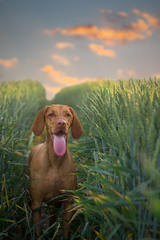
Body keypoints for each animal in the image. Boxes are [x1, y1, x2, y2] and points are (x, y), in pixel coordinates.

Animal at [28, 104, 83, 238]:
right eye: (51, 114)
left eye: (68, 114)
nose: (61, 123)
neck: (55, 161)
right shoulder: (36, 203)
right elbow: (37, 232)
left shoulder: (68, 203)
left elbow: (66, 231)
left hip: (56, 204)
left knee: (53, 219)